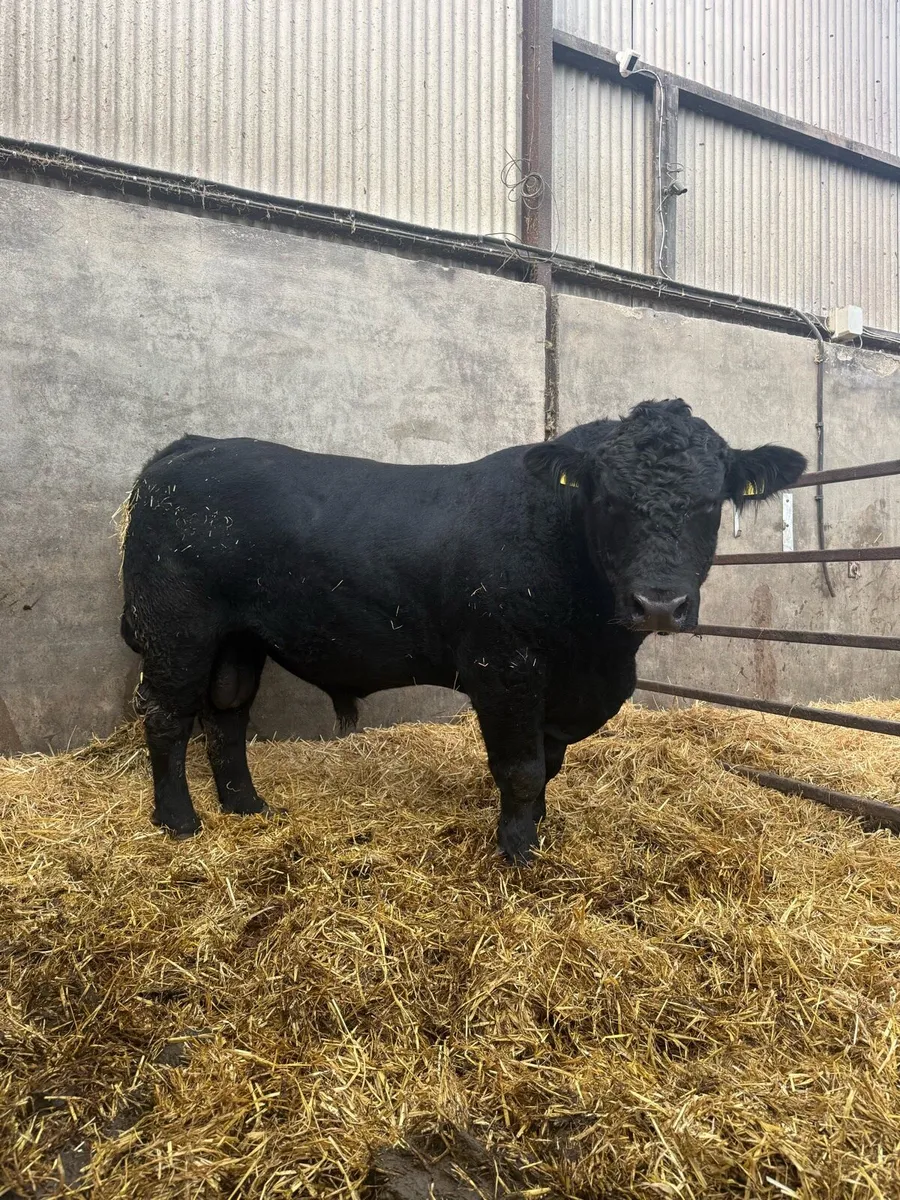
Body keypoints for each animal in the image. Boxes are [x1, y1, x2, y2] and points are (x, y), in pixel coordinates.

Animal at [120, 399, 806, 863]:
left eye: (709, 503)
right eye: (608, 499)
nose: (659, 604)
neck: (600, 649)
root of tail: (192, 447)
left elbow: (548, 764)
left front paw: (535, 831)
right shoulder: (504, 669)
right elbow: (522, 766)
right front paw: (519, 852)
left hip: (238, 638)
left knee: (227, 711)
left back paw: (245, 805)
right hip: (176, 627)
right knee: (167, 713)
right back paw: (178, 819)